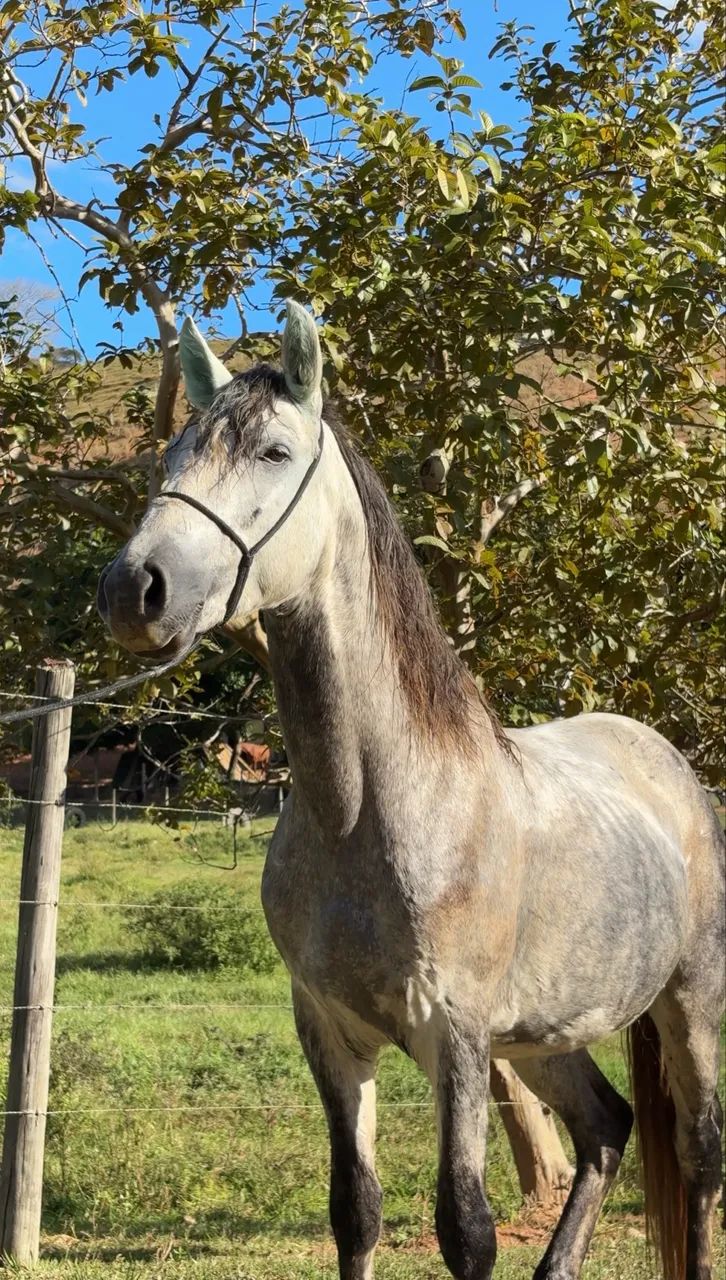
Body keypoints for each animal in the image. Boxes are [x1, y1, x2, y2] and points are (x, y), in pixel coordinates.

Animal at [98, 301, 724, 1280]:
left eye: (273, 452)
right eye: (172, 454)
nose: (135, 588)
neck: (370, 808)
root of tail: (667, 763)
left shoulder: (455, 1036)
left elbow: (464, 1228)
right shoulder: (329, 1032)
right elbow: (355, 1211)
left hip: (688, 1002)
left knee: (699, 1155)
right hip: (542, 1033)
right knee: (607, 1127)